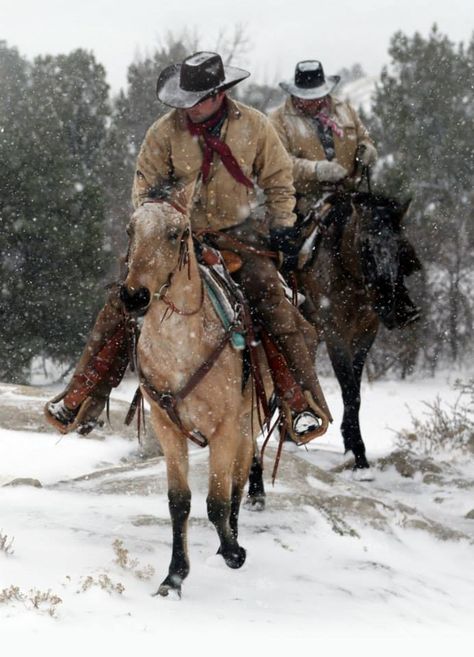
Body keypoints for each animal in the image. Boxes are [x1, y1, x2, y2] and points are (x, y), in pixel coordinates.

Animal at [119, 192, 260, 596]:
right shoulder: (167, 428)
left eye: (176, 234)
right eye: (131, 230)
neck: (181, 348)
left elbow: (217, 500)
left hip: (247, 424)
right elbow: (178, 502)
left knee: (238, 483)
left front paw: (233, 553)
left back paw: (232, 542)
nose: (134, 296)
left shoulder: (225, 429)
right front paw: (174, 577)